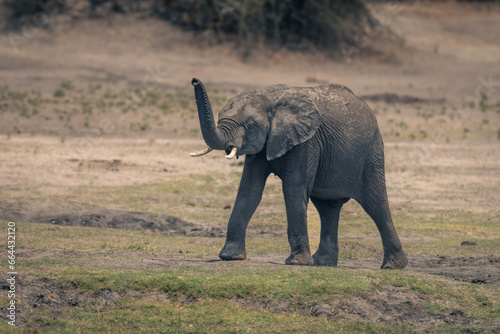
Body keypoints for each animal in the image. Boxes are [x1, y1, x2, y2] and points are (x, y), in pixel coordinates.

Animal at [189, 77, 408, 268]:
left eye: (249, 125)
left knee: (375, 204)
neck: (269, 98)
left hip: (372, 153)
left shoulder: (307, 141)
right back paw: (322, 263)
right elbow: (249, 191)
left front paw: (297, 263)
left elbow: (293, 189)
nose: (194, 80)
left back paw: (392, 266)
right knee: (327, 208)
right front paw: (230, 257)